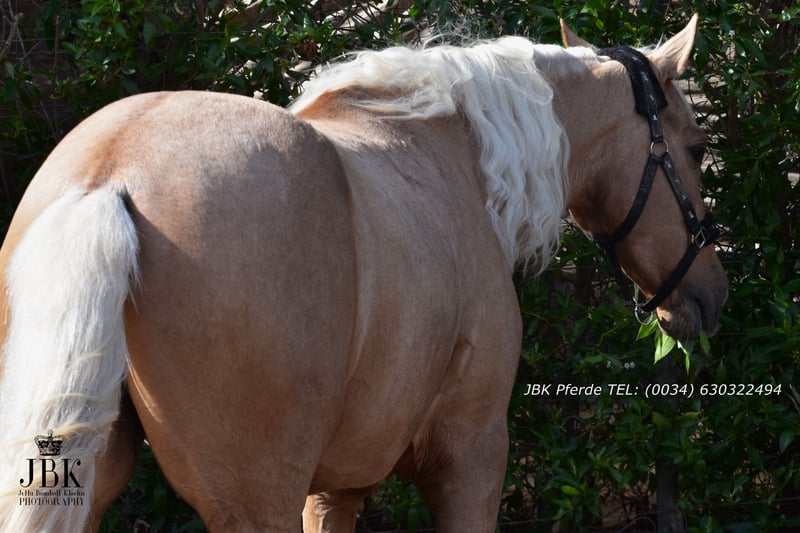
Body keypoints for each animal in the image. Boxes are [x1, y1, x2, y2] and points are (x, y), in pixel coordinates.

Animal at [0, 15, 726, 532]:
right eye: (695, 149)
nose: (710, 292)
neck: (457, 157)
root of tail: (111, 174)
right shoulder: (471, 455)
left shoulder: (335, 488)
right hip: (255, 501)